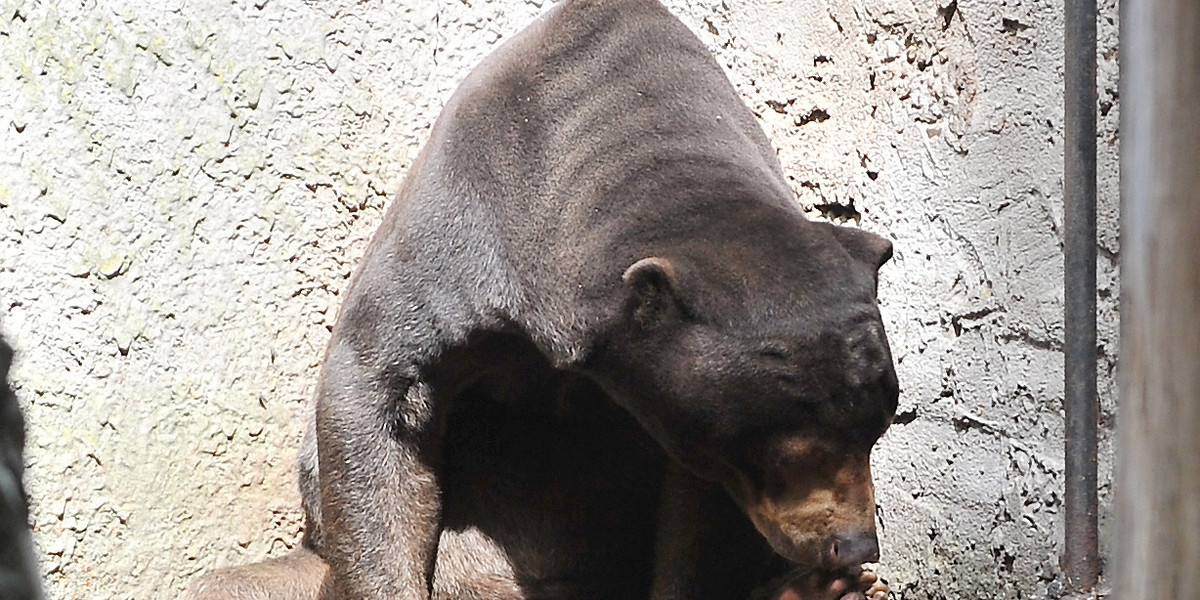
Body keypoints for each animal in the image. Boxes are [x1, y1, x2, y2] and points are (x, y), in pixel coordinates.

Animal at [187, 1, 897, 600]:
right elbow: (378, 391)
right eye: (791, 453)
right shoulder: (464, 234)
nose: (855, 545)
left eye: (877, 430)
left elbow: (694, 525)